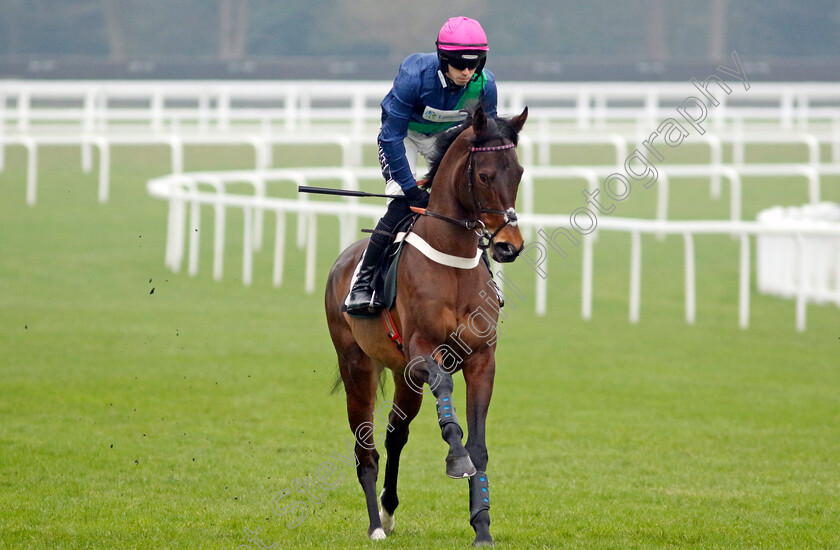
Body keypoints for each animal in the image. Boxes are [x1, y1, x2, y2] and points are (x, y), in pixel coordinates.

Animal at [324, 106, 528, 548]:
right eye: (484, 175)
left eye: (519, 171)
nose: (509, 246)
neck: (453, 264)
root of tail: (342, 262)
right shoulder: (422, 352)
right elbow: (447, 394)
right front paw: (455, 458)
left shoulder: (482, 359)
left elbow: (479, 446)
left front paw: (482, 526)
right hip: (357, 366)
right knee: (365, 447)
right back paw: (375, 525)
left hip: (403, 377)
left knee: (394, 435)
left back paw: (388, 510)